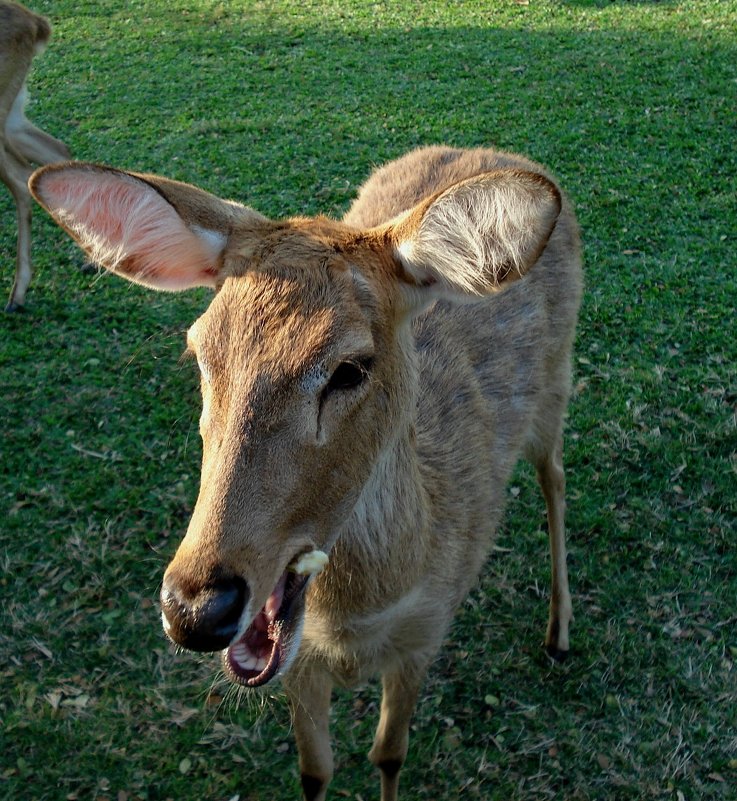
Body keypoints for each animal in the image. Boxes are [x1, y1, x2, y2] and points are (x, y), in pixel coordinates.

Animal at [28, 145, 580, 800]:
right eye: (200, 351)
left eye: (351, 367)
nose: (195, 608)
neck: (356, 619)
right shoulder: (300, 666)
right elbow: (315, 769)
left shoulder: (427, 631)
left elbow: (389, 754)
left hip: (558, 379)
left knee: (554, 475)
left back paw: (559, 632)